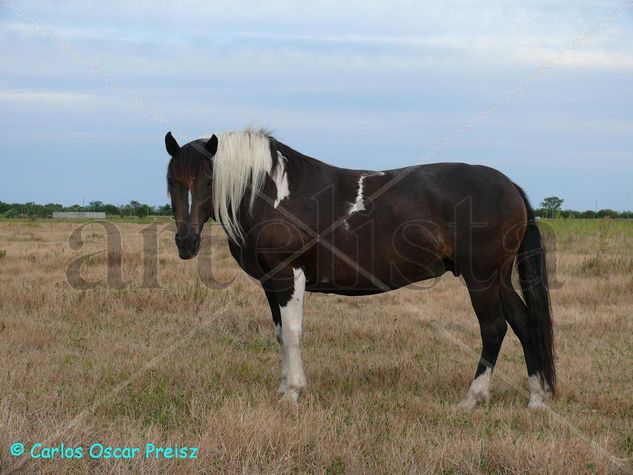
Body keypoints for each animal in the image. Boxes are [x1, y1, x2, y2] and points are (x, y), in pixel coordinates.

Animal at [163, 129, 552, 410]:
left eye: (208, 181)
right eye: (171, 182)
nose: (186, 242)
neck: (273, 195)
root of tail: (509, 186)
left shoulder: (289, 275)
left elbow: (293, 332)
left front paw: (294, 392)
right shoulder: (271, 283)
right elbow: (280, 334)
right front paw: (282, 388)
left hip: (481, 278)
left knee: (494, 328)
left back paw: (472, 399)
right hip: (498, 277)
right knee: (524, 322)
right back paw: (536, 399)